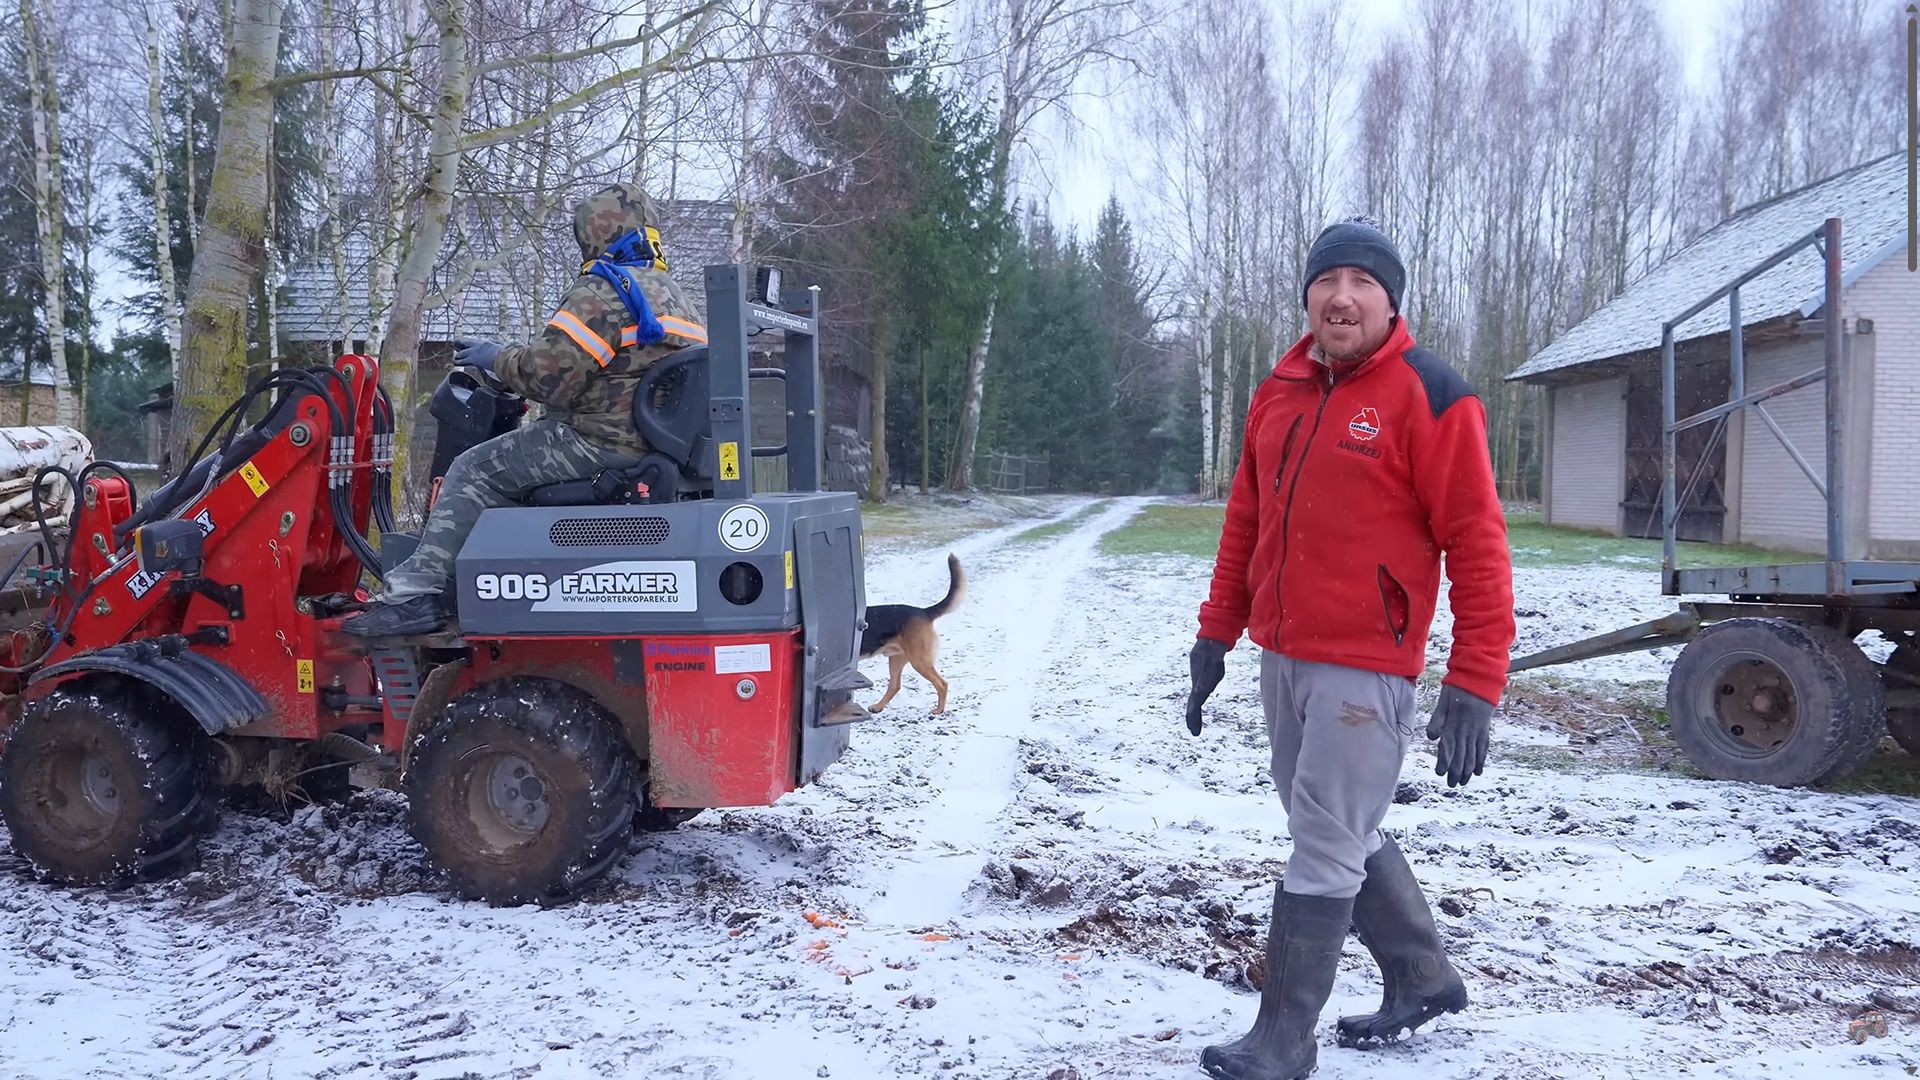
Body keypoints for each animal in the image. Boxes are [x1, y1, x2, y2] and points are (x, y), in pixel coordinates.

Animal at [864, 549, 967, 711]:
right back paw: (878, 707)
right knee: (895, 685)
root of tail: (924, 611)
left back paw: (939, 710)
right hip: (897, 658)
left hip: (919, 661)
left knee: (942, 684)